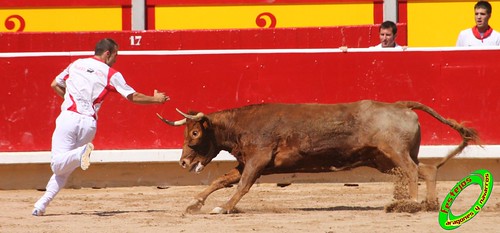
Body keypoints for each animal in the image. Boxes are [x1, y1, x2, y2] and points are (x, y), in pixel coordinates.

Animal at [156, 99, 476, 214]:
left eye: (194, 133)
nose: (183, 162)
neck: (241, 125)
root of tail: (400, 106)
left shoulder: (258, 161)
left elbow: (242, 185)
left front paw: (223, 208)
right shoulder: (246, 162)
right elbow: (223, 180)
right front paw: (194, 203)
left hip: (393, 154)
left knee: (411, 171)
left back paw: (409, 204)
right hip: (384, 160)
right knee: (427, 170)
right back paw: (430, 204)